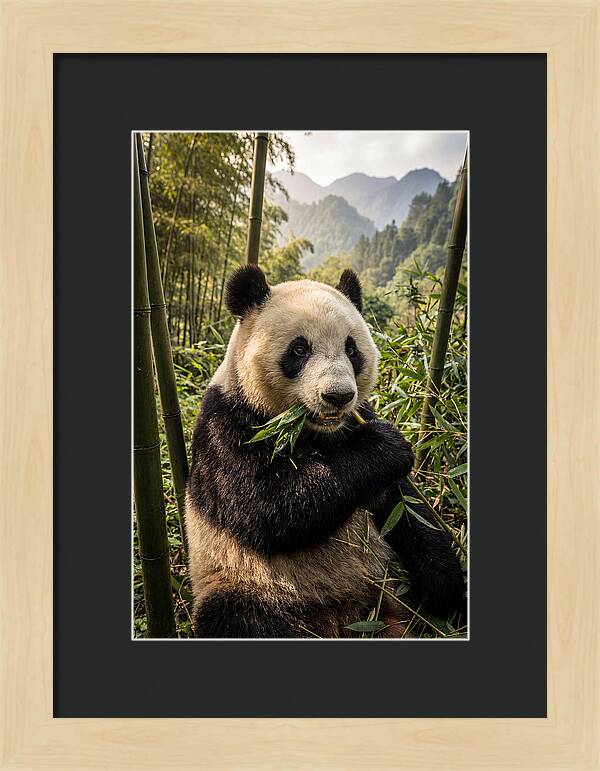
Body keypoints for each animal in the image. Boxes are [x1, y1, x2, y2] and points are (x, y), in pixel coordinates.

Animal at [185, 265, 464, 638]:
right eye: (299, 349)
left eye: (352, 349)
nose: (338, 396)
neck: (312, 431)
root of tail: (343, 618)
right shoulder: (228, 425)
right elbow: (266, 507)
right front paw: (385, 446)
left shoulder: (358, 423)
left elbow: (405, 509)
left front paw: (445, 585)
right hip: (245, 582)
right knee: (237, 618)